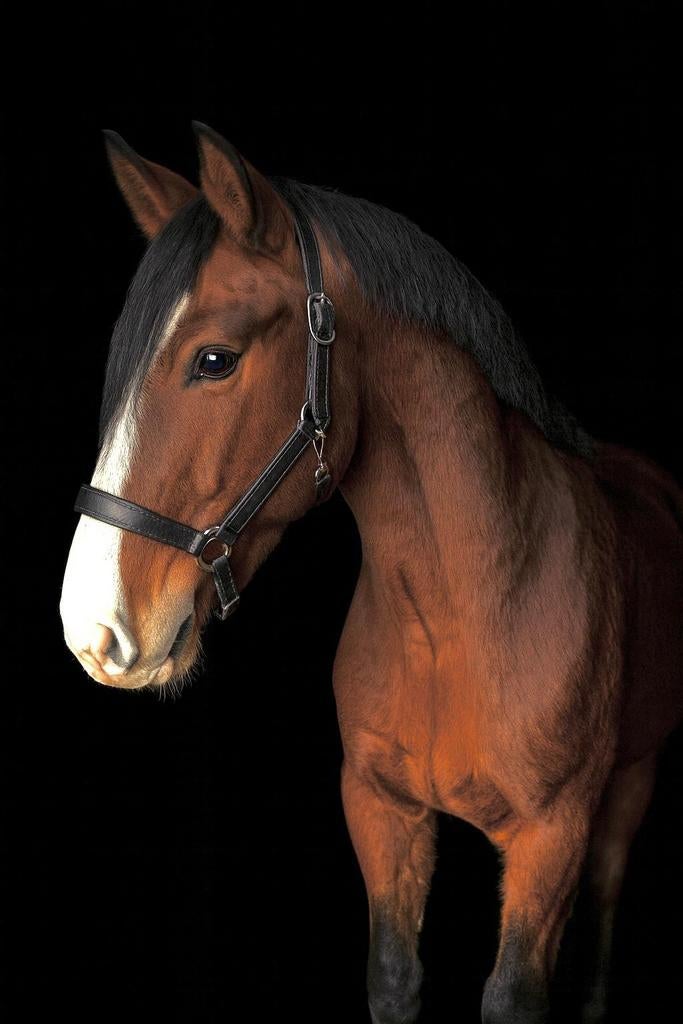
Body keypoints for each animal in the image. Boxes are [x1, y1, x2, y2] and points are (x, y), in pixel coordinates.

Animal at [60, 122, 683, 1023]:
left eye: (214, 359)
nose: (93, 628)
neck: (466, 611)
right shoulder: (381, 812)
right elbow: (392, 974)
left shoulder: (552, 837)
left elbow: (515, 994)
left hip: (628, 790)